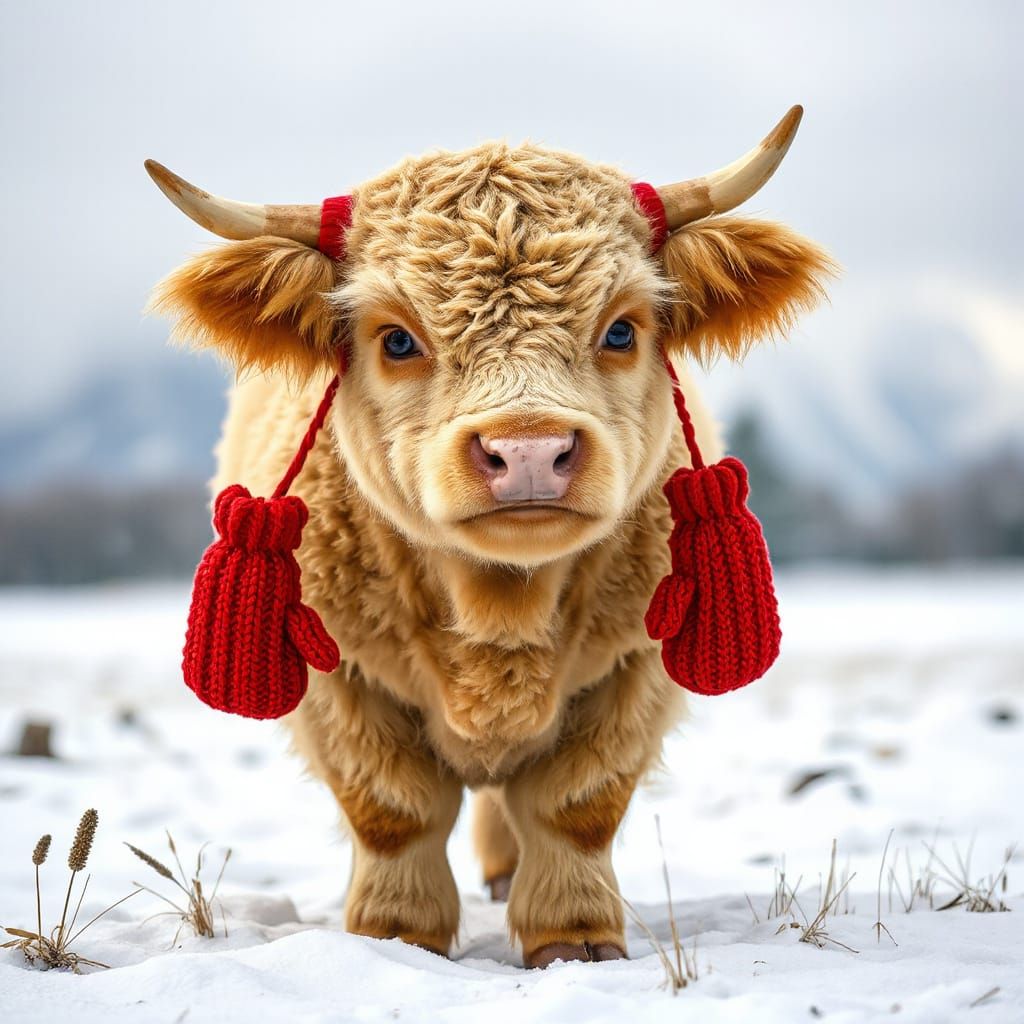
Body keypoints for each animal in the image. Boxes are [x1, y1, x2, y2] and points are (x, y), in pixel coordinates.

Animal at [146, 106, 833, 968]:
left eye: (621, 331)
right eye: (396, 339)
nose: (530, 450)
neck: (500, 614)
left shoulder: (635, 667)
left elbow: (575, 807)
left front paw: (573, 938)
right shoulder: (337, 677)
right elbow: (394, 811)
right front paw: (396, 933)